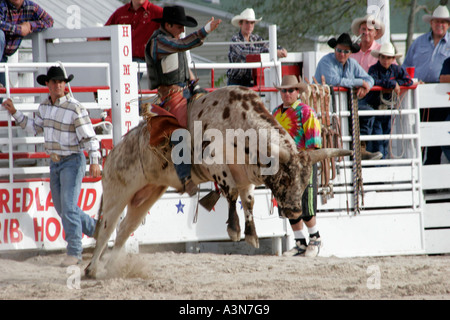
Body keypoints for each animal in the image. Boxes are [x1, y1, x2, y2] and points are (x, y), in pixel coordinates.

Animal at [85, 85, 352, 278]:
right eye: (284, 177)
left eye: (306, 179)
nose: (295, 210)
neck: (239, 123)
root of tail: (112, 153)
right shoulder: (215, 163)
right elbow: (230, 192)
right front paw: (233, 229)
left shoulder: (247, 176)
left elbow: (248, 201)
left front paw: (251, 235)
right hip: (116, 193)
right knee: (106, 229)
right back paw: (92, 269)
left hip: (147, 195)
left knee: (124, 229)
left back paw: (111, 267)